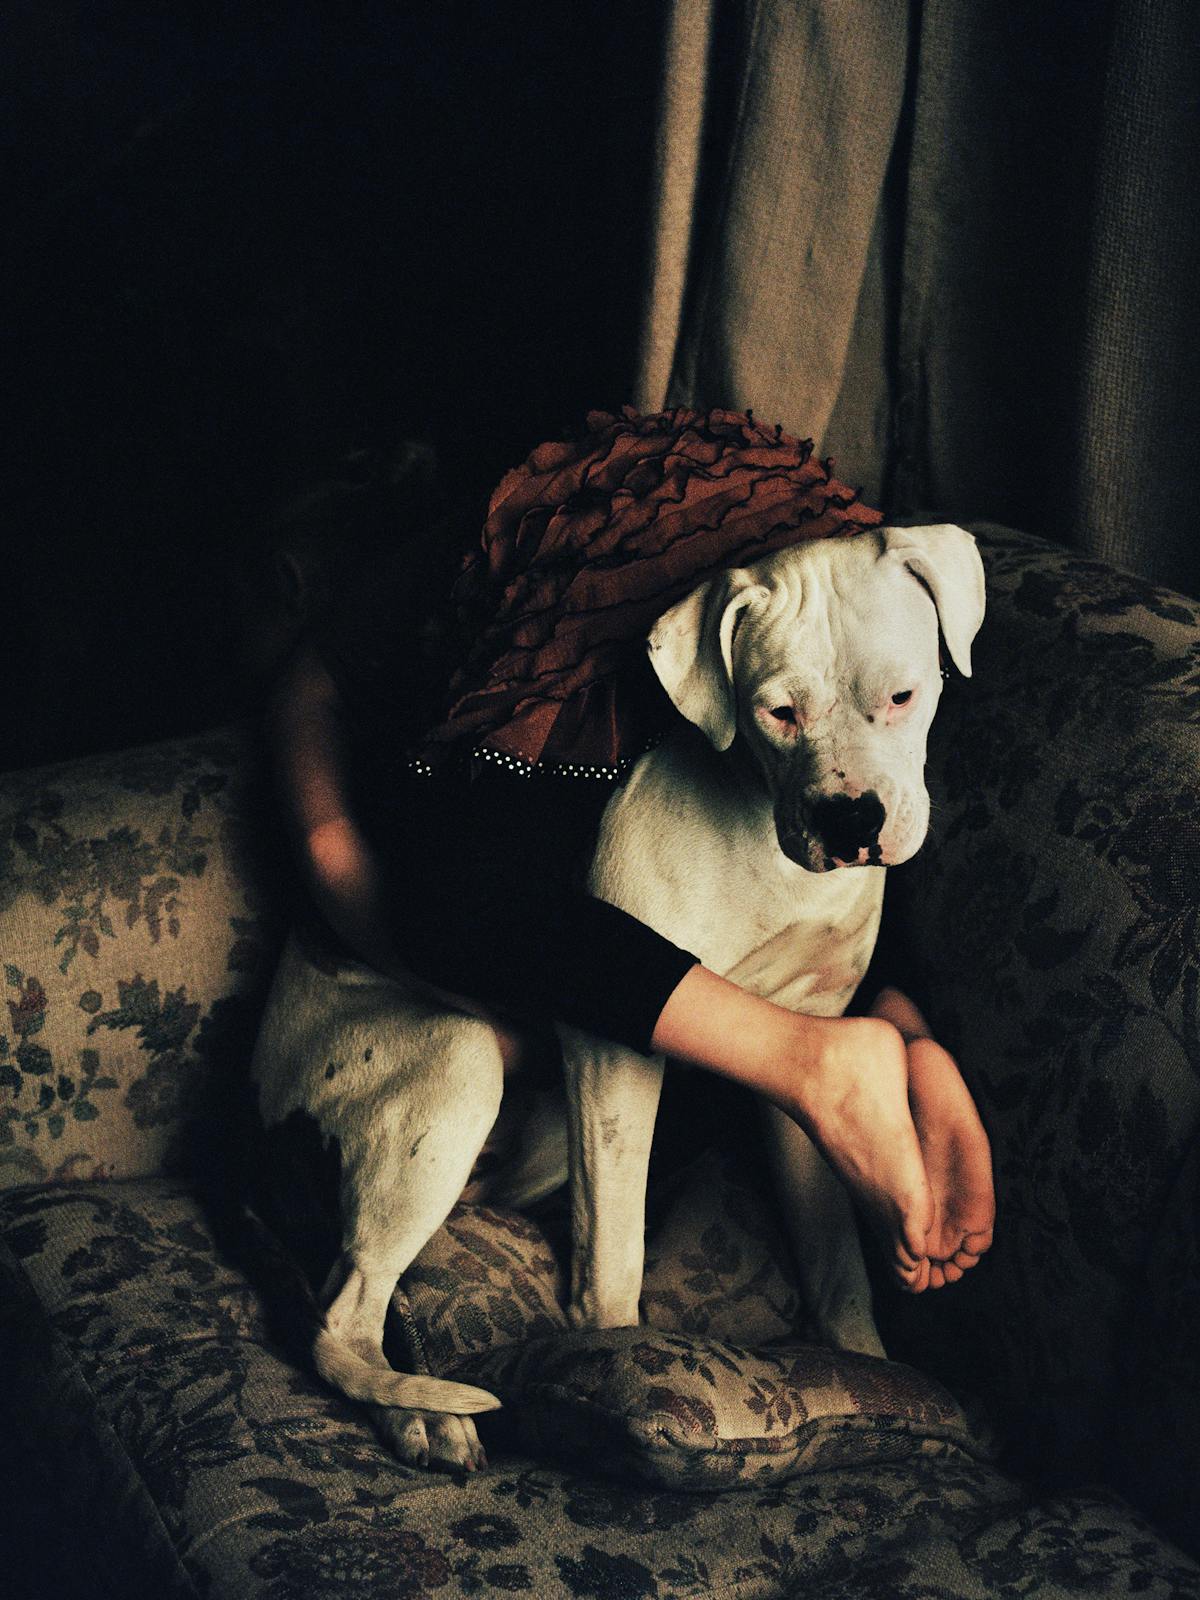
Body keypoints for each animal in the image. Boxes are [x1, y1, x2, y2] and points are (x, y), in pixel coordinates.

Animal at [249, 521, 985, 1470]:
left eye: (902, 695)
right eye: (777, 713)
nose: (850, 818)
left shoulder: (805, 1054)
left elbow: (836, 1259)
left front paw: (876, 1374)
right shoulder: (614, 1046)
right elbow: (614, 1265)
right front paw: (615, 1358)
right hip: (456, 1065)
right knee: (342, 1318)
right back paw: (424, 1417)